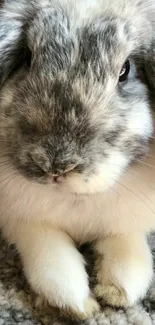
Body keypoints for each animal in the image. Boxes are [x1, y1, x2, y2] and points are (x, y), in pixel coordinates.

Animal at [0, 0, 155, 318]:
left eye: (125, 70)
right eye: (28, 58)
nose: (55, 166)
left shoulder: (128, 220)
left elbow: (127, 246)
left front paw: (120, 289)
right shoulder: (22, 220)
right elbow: (52, 257)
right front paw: (78, 303)